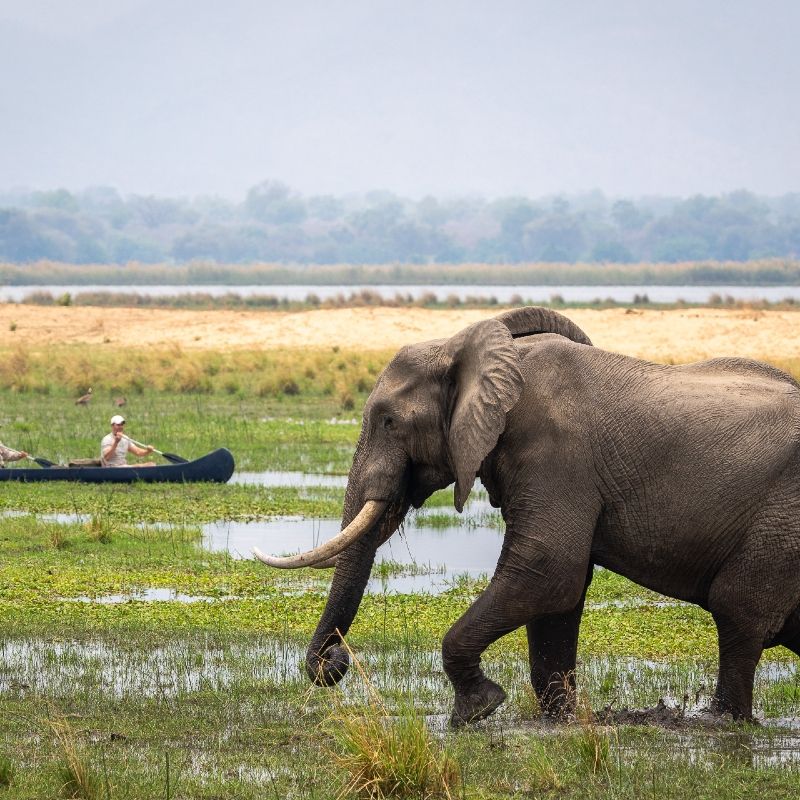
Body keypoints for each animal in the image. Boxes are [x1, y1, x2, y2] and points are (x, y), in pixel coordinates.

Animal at [255, 306, 800, 726]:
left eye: (388, 421)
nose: (333, 663)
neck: (472, 353)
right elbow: (560, 595)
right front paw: (558, 722)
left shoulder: (555, 455)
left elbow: (547, 570)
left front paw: (477, 710)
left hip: (781, 522)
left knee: (738, 612)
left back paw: (723, 723)